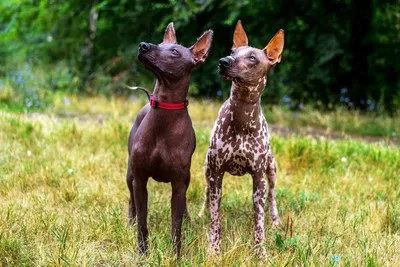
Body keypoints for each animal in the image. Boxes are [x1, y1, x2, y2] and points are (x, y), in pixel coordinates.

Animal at [126, 23, 212, 260]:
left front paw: (176, 256)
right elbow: (143, 223)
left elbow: (176, 225)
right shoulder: (140, 180)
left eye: (174, 51)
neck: (164, 113)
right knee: (131, 199)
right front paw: (143, 253)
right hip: (130, 175)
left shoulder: (178, 184)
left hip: (187, 179)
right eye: (159, 43)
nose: (143, 45)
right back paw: (129, 221)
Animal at [202, 19, 282, 258]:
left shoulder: (258, 178)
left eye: (252, 58)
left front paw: (261, 252)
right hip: (206, 169)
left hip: (271, 170)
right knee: (206, 195)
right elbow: (215, 218)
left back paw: (276, 222)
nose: (223, 61)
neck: (242, 117)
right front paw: (214, 249)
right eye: (232, 52)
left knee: (272, 196)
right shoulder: (216, 173)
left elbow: (259, 221)